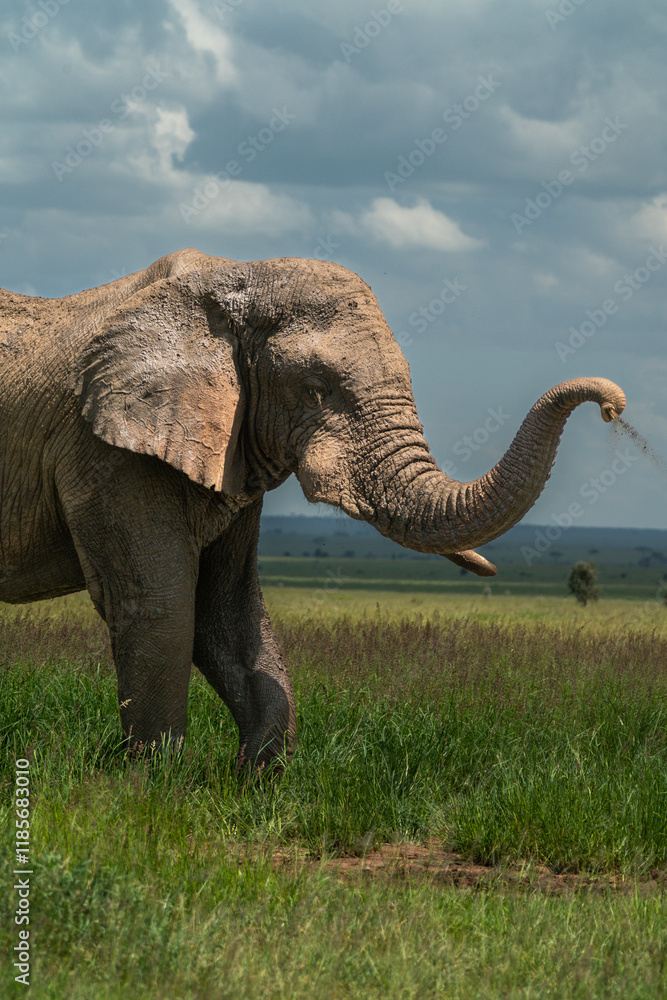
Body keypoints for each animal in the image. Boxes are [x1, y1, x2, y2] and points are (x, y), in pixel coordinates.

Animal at [0, 248, 625, 771]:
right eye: (316, 386)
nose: (612, 406)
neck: (237, 275)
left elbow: (225, 612)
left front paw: (251, 782)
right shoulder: (103, 451)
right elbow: (158, 607)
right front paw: (153, 792)